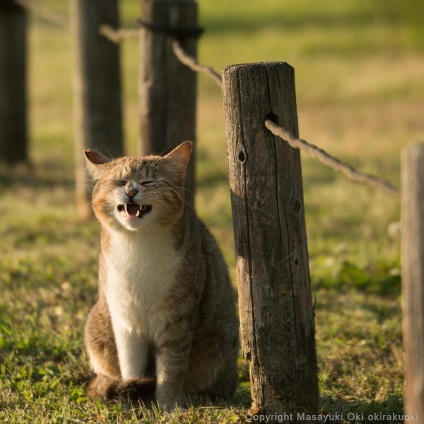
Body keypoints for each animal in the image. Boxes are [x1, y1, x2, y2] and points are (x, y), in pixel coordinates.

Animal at [83, 142, 238, 410]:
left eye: (148, 182)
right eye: (120, 181)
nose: (131, 191)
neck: (138, 243)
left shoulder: (178, 315)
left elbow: (172, 368)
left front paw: (168, 406)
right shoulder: (124, 317)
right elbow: (130, 364)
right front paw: (132, 396)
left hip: (220, 340)